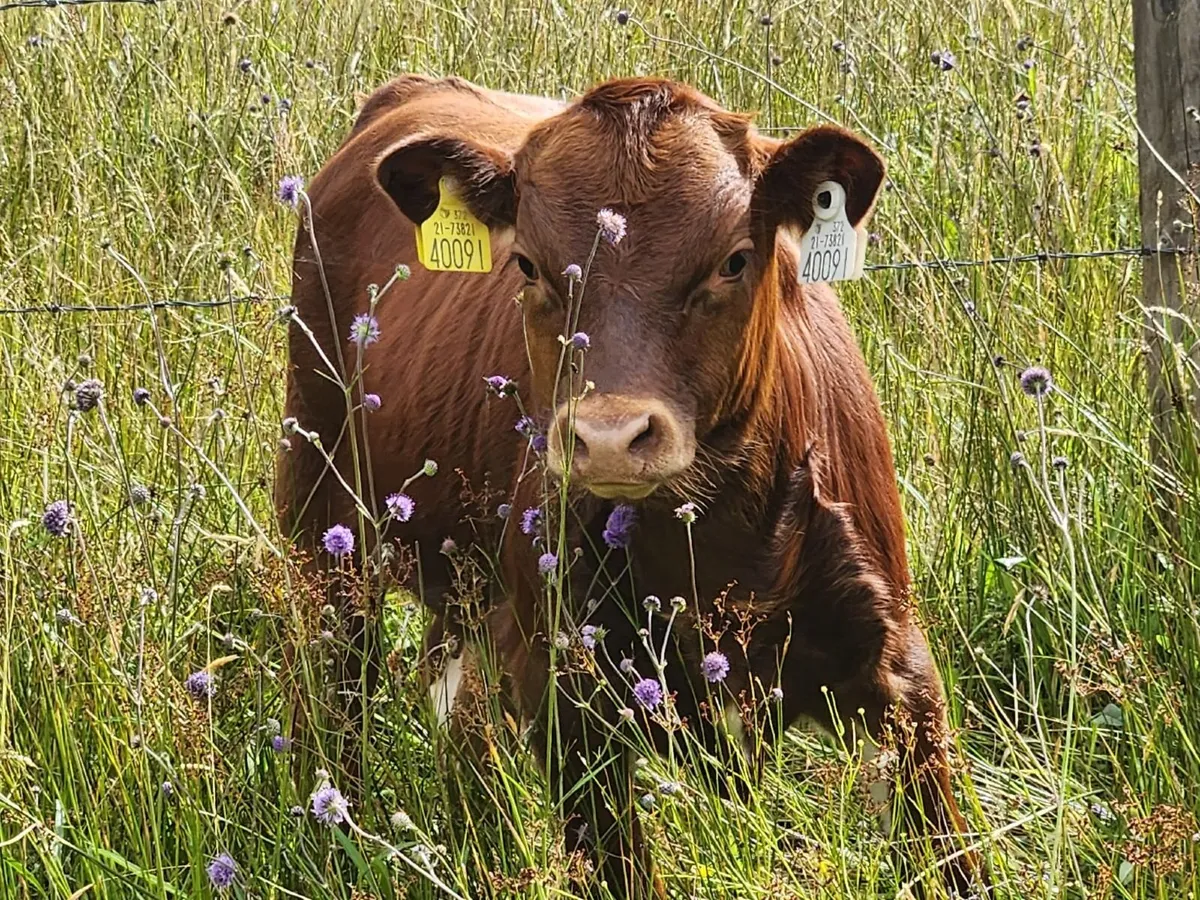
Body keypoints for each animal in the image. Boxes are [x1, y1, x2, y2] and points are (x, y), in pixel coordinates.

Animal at [277, 73, 987, 898]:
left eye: (735, 259)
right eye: (528, 266)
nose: (610, 437)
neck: (718, 555)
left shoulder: (901, 672)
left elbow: (951, 858)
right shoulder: (564, 692)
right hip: (325, 517)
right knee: (338, 693)